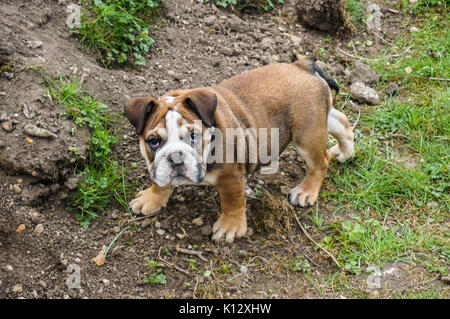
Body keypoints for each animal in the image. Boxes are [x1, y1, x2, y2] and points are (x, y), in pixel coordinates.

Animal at [124, 58, 356, 242]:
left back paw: (306, 191)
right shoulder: (159, 167)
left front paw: (230, 227)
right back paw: (344, 152)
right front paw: (151, 199)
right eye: (153, 141)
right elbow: (160, 183)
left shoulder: (231, 177)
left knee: (321, 161)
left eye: (193, 136)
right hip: (319, 118)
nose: (175, 157)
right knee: (342, 122)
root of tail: (303, 66)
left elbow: (232, 201)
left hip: (306, 134)